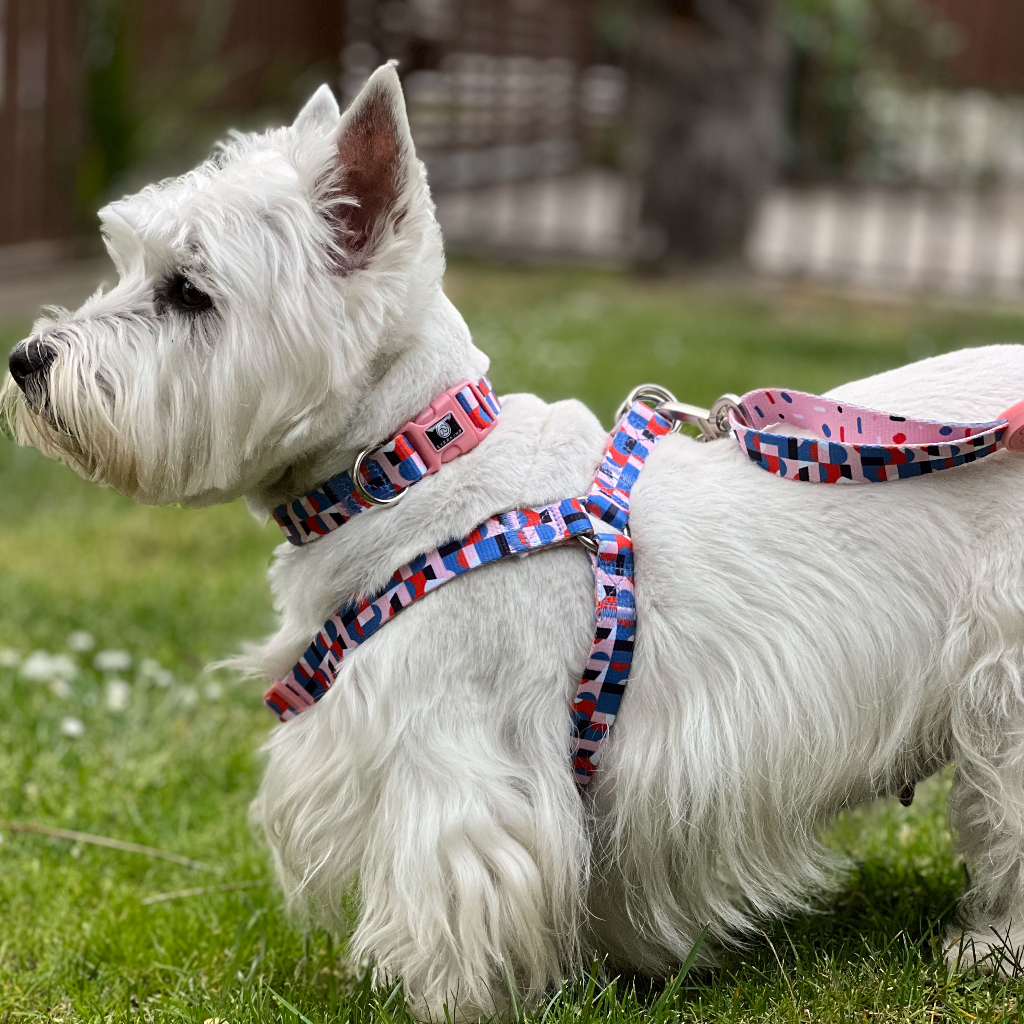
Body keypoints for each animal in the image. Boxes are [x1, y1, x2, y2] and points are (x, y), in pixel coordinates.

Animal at [6, 64, 1024, 1015]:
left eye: (189, 291)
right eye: (127, 264)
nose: (26, 360)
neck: (410, 472)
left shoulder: (456, 762)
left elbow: (455, 897)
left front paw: (447, 1002)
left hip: (1003, 679)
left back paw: (985, 949)